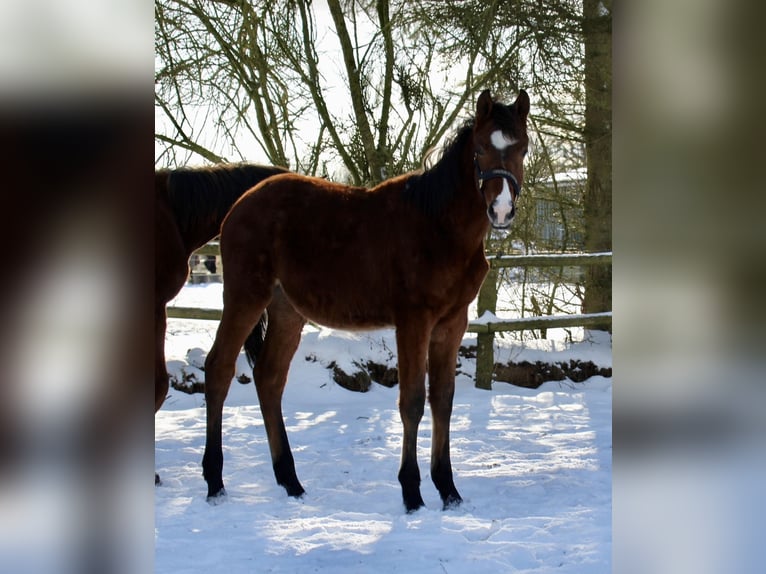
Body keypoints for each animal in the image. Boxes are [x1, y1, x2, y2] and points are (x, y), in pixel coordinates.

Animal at [201, 90, 532, 512]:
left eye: (522, 148)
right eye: (480, 149)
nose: (501, 210)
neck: (438, 226)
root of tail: (239, 204)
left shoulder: (452, 323)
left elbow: (443, 400)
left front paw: (449, 490)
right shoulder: (413, 322)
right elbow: (412, 402)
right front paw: (412, 494)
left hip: (287, 310)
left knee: (269, 378)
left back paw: (291, 481)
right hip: (246, 296)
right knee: (219, 369)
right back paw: (215, 482)